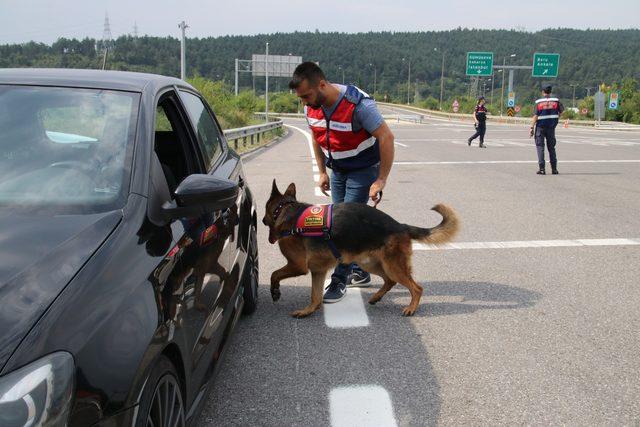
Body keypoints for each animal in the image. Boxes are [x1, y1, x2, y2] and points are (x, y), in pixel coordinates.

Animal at [262, 180, 460, 318]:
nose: (262, 220)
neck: (285, 209)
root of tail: (400, 225)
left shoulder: (297, 266)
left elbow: (274, 274)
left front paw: (275, 292)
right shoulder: (317, 270)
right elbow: (315, 296)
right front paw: (308, 311)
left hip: (392, 266)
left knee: (416, 288)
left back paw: (411, 308)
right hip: (372, 264)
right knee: (390, 281)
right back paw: (376, 297)